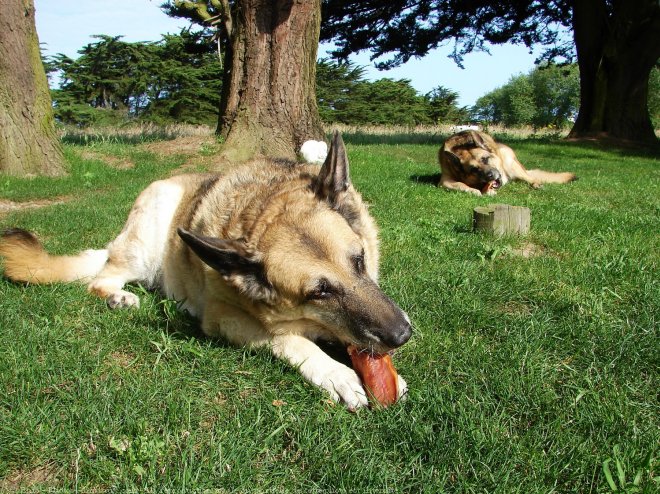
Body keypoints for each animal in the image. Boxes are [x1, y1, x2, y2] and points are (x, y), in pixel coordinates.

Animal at [1, 131, 412, 410]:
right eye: (320, 292)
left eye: (359, 260)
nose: (403, 334)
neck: (262, 208)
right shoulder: (225, 317)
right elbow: (288, 338)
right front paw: (335, 373)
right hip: (146, 237)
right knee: (102, 278)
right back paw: (119, 297)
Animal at [438, 130, 576, 196]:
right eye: (474, 169)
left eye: (485, 159)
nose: (489, 176)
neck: (461, 148)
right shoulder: (445, 181)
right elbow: (460, 184)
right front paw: (472, 190)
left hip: (510, 163)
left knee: (531, 178)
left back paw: (536, 184)